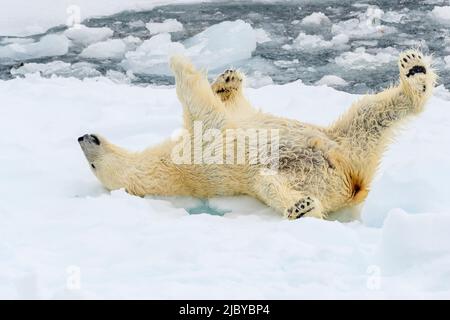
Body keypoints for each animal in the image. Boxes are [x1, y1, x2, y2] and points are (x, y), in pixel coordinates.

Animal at [80, 50, 436, 220]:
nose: (82, 138)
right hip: (310, 174)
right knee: (273, 183)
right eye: (92, 167)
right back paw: (301, 207)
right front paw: (178, 60)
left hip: (341, 140)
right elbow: (200, 106)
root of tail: (354, 181)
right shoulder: (201, 143)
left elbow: (231, 107)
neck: (169, 165)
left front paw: (227, 80)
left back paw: (414, 70)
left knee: (369, 112)